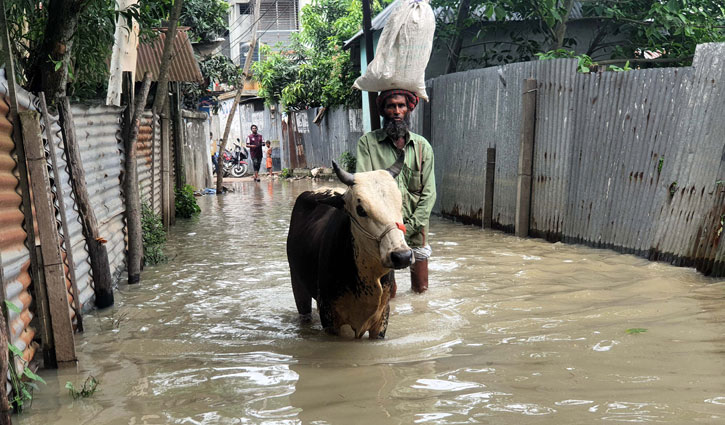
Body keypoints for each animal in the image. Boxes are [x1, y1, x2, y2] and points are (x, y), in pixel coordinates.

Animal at [288, 152, 412, 338]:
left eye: (401, 203)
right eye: (361, 210)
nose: (402, 256)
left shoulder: (382, 318)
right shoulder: (329, 317)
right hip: (297, 283)